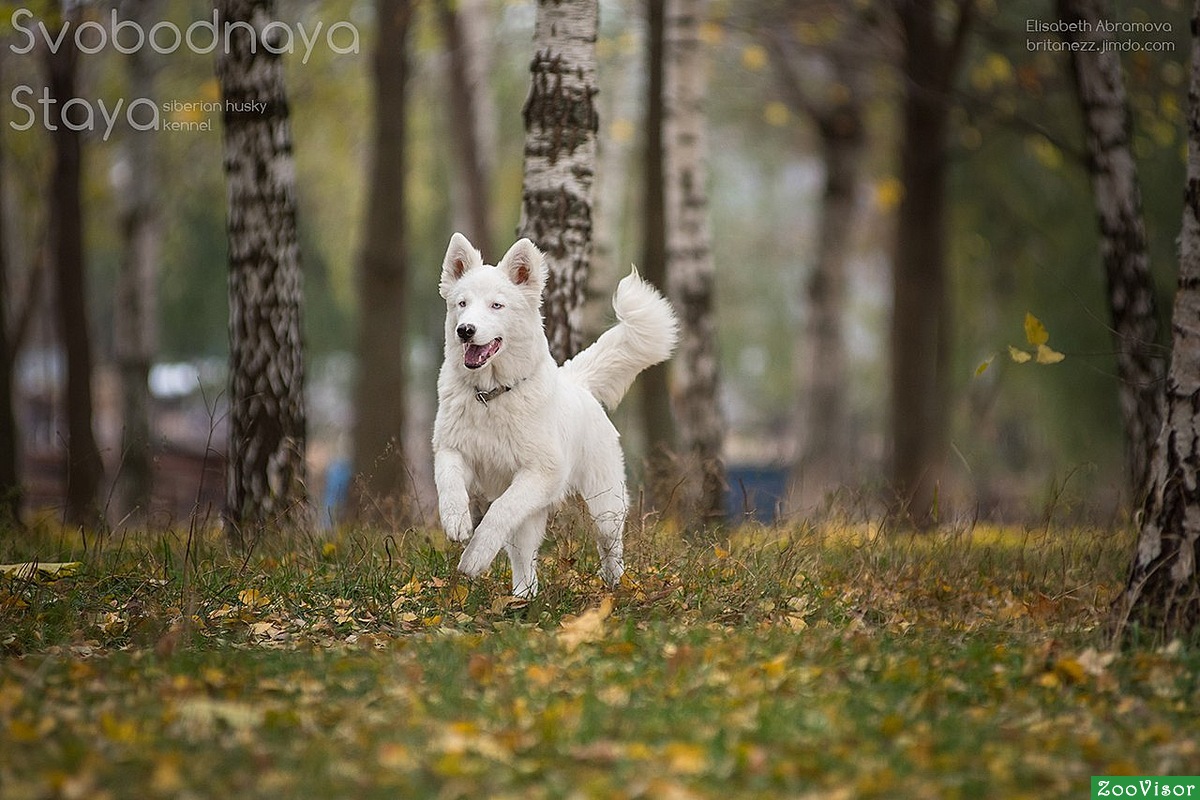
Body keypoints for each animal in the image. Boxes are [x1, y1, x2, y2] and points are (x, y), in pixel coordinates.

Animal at [434, 231, 681, 594]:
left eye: (496, 305)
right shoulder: (452, 450)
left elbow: (498, 512)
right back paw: (523, 596)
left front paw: (475, 558)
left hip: (604, 505)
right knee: (524, 558)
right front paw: (456, 522)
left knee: (610, 547)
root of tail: (577, 379)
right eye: (462, 304)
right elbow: (448, 482)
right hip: (536, 512)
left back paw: (614, 585)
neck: (492, 396)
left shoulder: (540, 473)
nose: (465, 330)